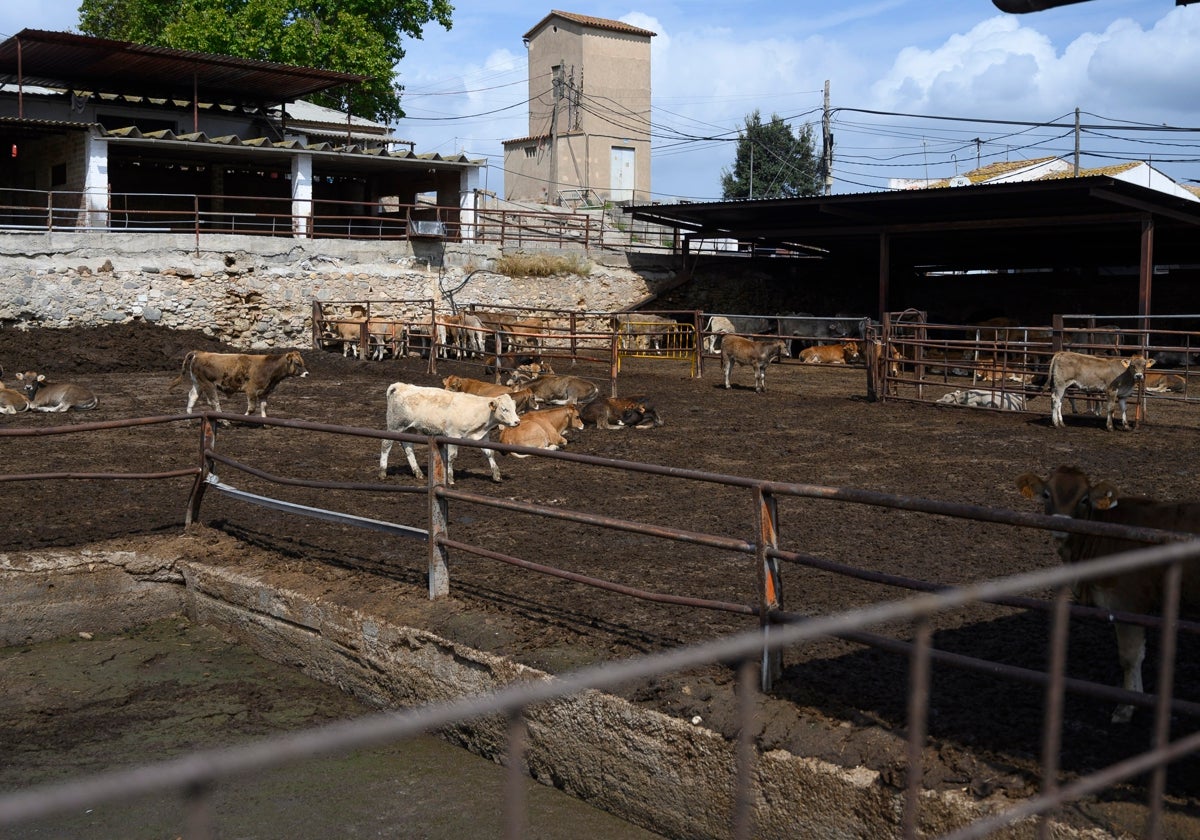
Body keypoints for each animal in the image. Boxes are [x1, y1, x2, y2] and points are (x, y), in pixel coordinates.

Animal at [176, 348, 312, 417]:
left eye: (303, 362)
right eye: (297, 363)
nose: (307, 374)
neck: (268, 367)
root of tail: (200, 353)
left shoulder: (264, 392)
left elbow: (264, 407)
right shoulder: (251, 390)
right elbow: (251, 409)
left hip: (198, 383)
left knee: (192, 396)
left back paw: (189, 419)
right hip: (207, 384)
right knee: (214, 402)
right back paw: (225, 421)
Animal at [379, 381, 520, 484]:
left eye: (514, 408)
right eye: (504, 409)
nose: (517, 422)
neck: (480, 411)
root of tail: (400, 386)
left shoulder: (483, 436)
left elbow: (489, 453)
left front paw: (497, 475)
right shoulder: (454, 435)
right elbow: (452, 456)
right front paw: (451, 478)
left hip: (409, 428)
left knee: (408, 447)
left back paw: (418, 473)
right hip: (395, 426)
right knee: (386, 444)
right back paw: (382, 472)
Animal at [1017, 465, 1200, 720]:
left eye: (1084, 499)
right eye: (1046, 494)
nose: (1061, 525)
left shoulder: (1126, 603)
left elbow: (1130, 656)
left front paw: (1126, 706)